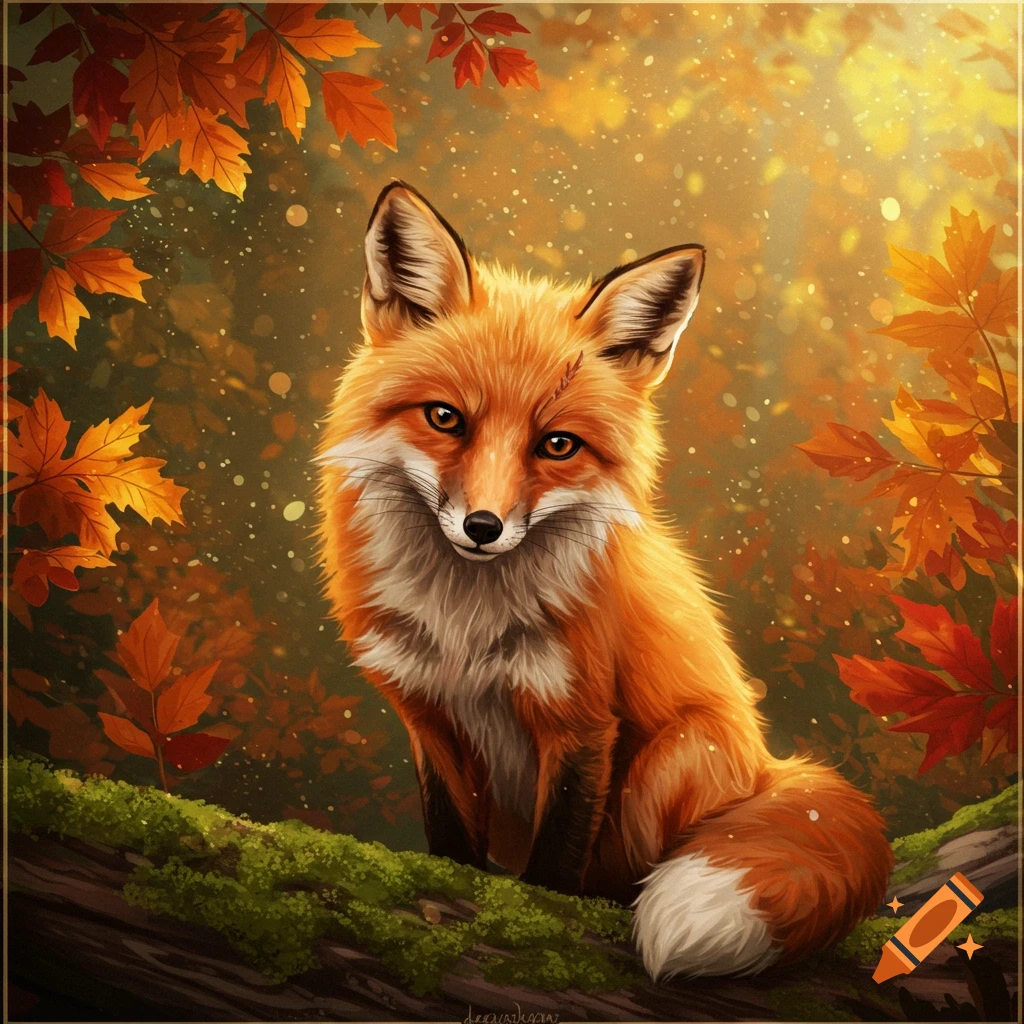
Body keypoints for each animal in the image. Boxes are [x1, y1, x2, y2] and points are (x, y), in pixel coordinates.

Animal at [315, 181, 893, 979]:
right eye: (445, 418)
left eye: (558, 445)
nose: (483, 526)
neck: (466, 629)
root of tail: (767, 766)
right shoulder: (428, 715)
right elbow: (452, 844)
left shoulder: (584, 721)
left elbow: (556, 864)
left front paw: (541, 925)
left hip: (671, 760)